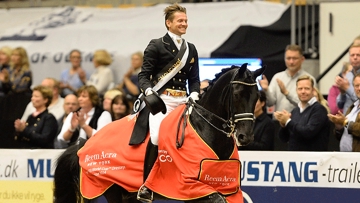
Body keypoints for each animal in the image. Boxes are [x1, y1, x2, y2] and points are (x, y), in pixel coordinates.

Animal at [53, 63, 264, 203]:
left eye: (256, 97)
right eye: (236, 95)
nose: (246, 137)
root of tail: (83, 145)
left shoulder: (228, 187)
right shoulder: (187, 186)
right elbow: (218, 199)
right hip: (102, 188)